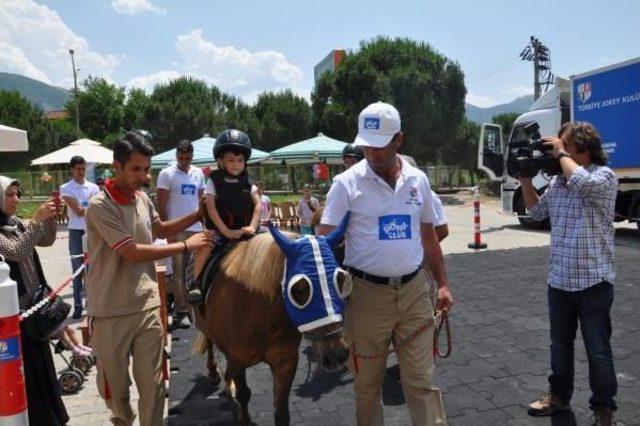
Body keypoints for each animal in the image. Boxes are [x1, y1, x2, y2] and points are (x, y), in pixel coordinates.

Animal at [191, 225, 350, 424]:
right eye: (300, 288)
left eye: (340, 280)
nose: (337, 354)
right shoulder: (238, 360)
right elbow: (244, 394)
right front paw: (244, 419)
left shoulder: (285, 361)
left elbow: (281, 410)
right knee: (209, 342)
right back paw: (214, 373)